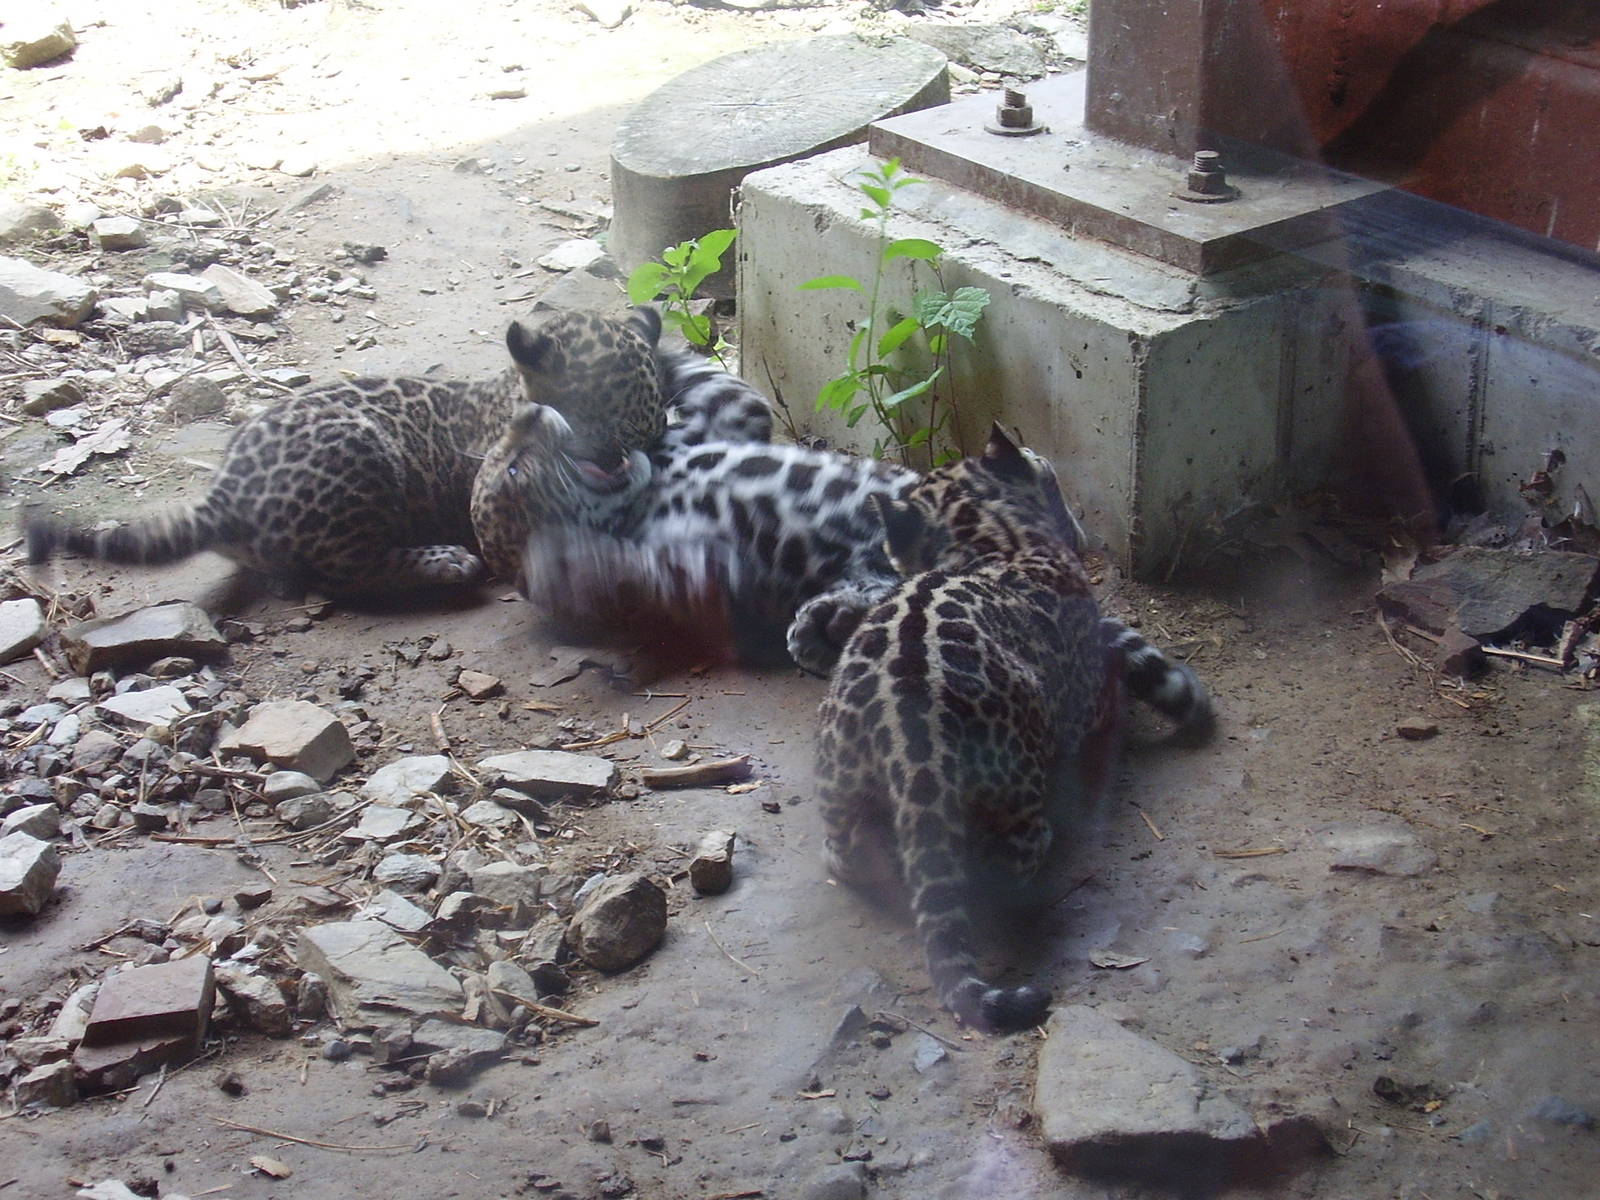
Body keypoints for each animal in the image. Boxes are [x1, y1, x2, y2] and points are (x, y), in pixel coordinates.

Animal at [24, 307, 668, 598]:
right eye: (608, 419)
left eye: (656, 422)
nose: (636, 456)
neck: (502, 396)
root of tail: (224, 493)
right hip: (358, 457)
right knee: (352, 568)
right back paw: (443, 563)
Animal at [814, 424, 1119, 1032]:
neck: (993, 539)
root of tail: (909, 736)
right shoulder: (1087, 699)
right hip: (1016, 787)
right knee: (1003, 868)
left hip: (837, 775)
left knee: (850, 854)